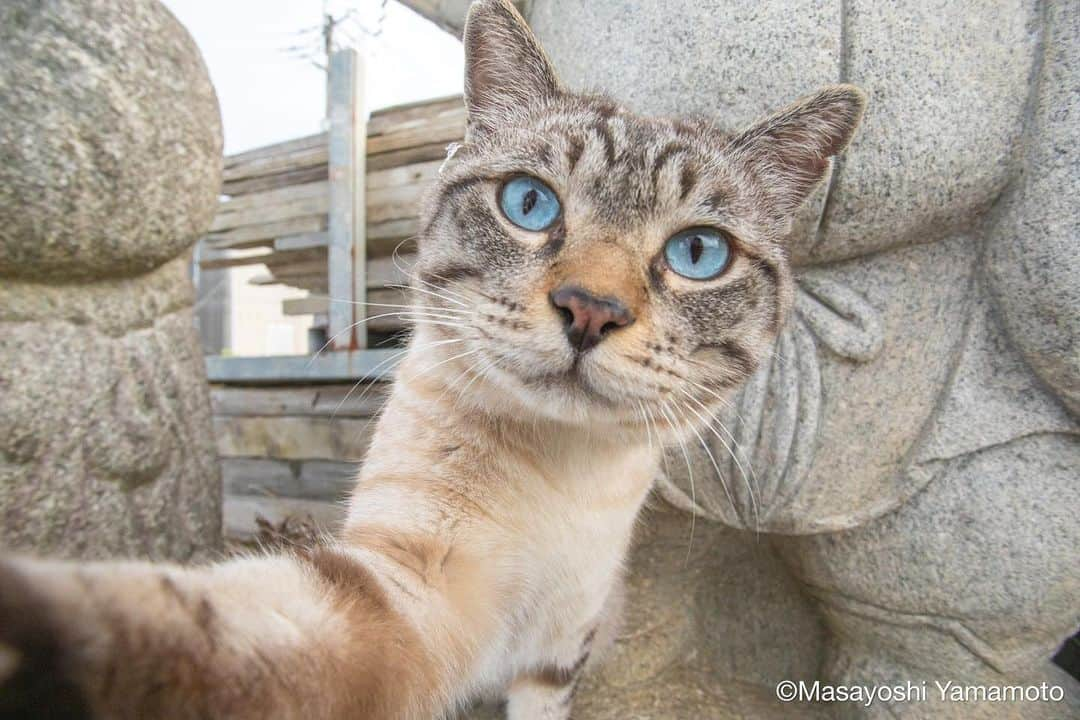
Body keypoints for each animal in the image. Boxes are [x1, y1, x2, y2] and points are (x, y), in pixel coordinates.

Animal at [0, 1, 864, 720]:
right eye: (529, 204)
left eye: (698, 253)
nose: (591, 308)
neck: (554, 476)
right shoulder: (420, 589)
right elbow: (236, 630)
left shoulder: (560, 650)